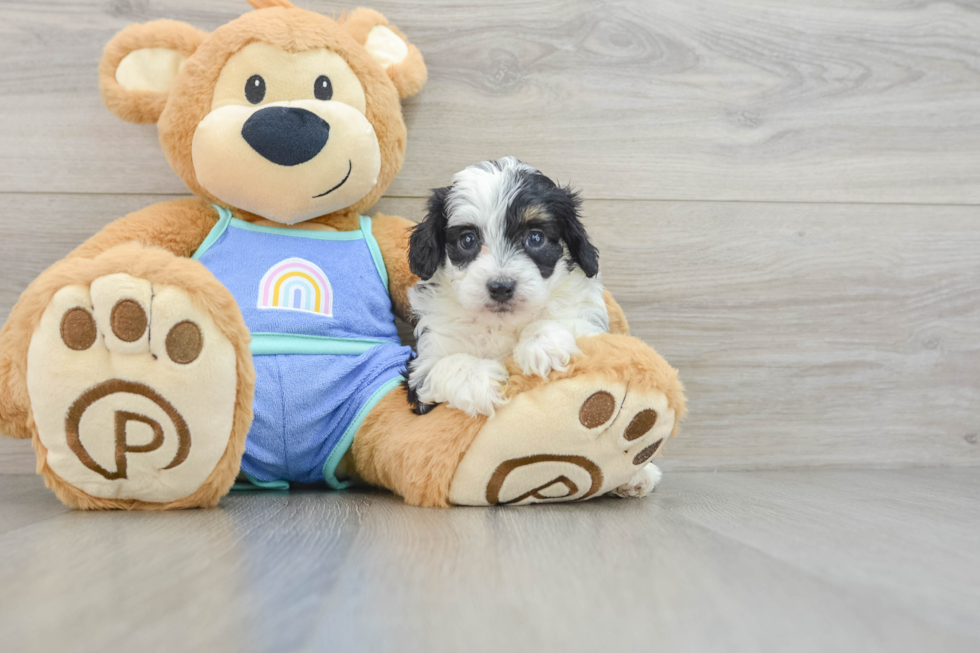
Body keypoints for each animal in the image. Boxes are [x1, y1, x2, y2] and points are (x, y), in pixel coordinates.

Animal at [404, 159, 608, 418]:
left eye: (535, 238)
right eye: (467, 240)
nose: (501, 287)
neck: (501, 323)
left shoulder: (590, 322)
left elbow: (567, 321)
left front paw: (542, 343)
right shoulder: (421, 367)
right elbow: (442, 365)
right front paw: (478, 380)